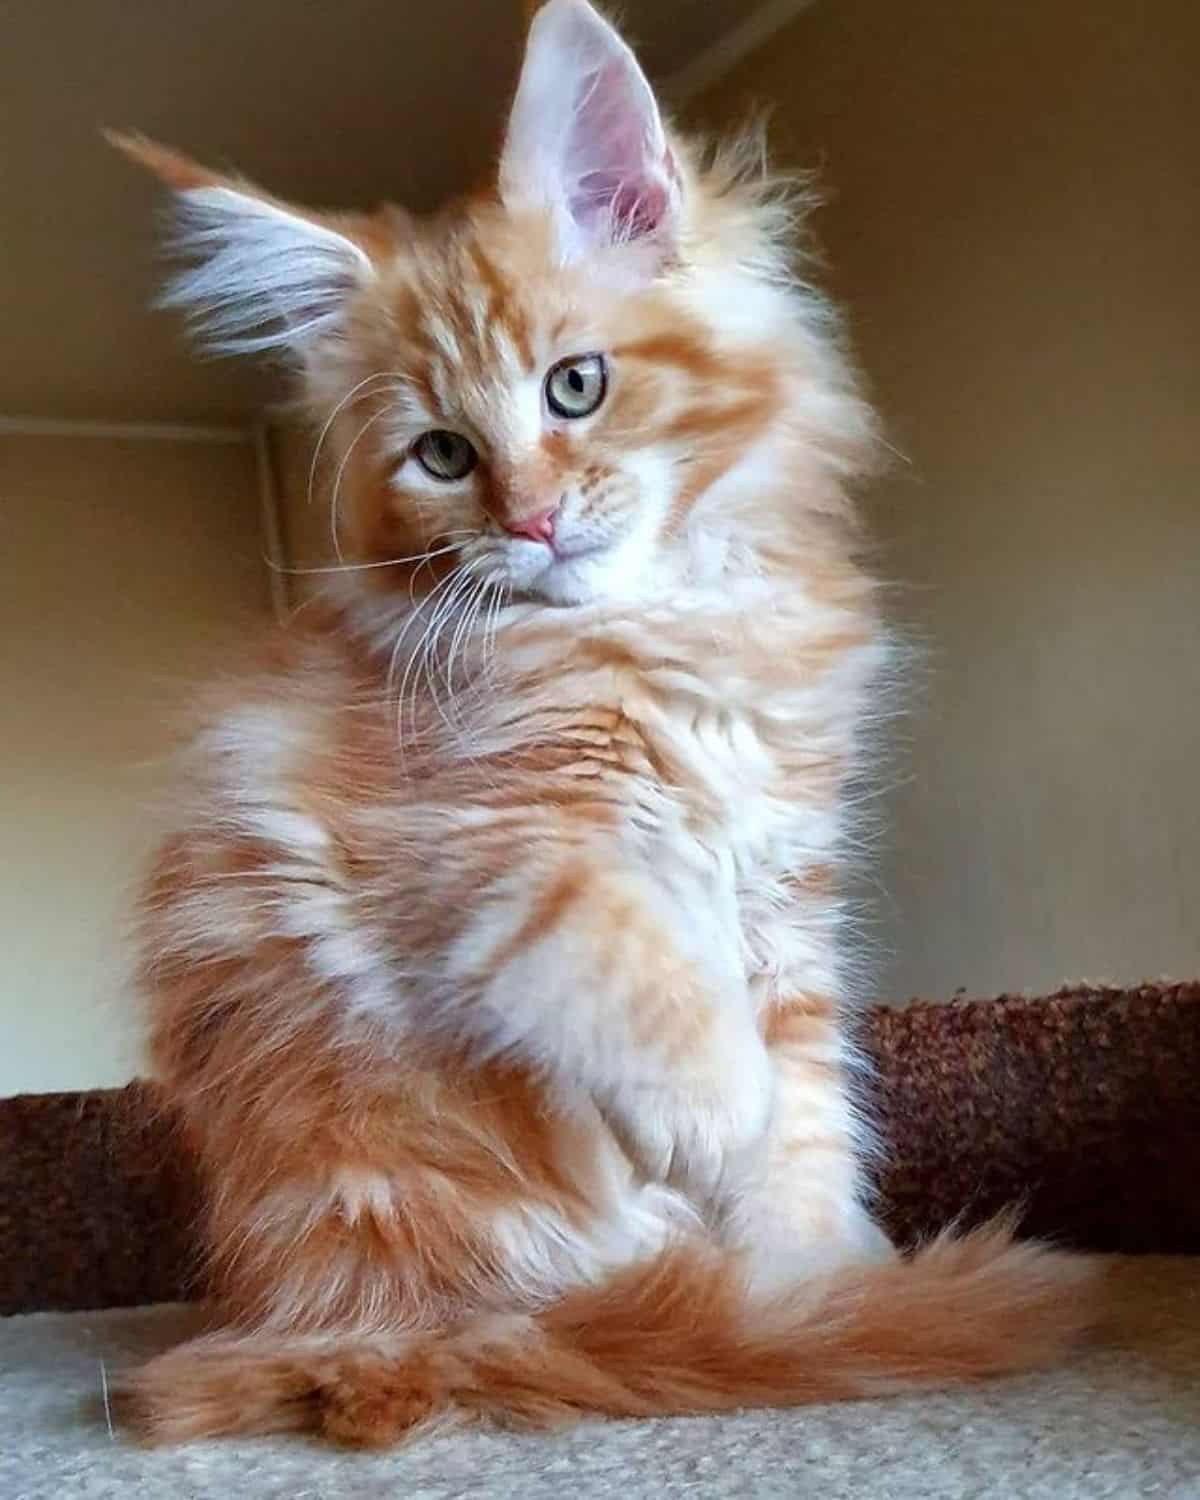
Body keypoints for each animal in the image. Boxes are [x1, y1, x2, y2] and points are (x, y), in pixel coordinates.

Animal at [112, 0, 1098, 1452]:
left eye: (575, 386)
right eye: (444, 455)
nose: (529, 521)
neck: (664, 629)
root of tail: (359, 1323)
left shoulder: (783, 892)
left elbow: (809, 1117)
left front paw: (814, 1270)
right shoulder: (467, 849)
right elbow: (638, 979)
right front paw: (720, 1116)